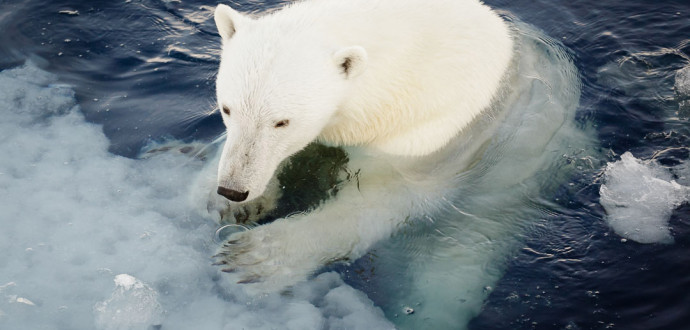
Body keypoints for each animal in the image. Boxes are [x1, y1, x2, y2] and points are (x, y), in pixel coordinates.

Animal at [212, 0, 512, 288]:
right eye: (226, 109)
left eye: (282, 122)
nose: (232, 190)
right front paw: (225, 203)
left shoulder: (427, 132)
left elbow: (383, 199)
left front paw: (252, 256)